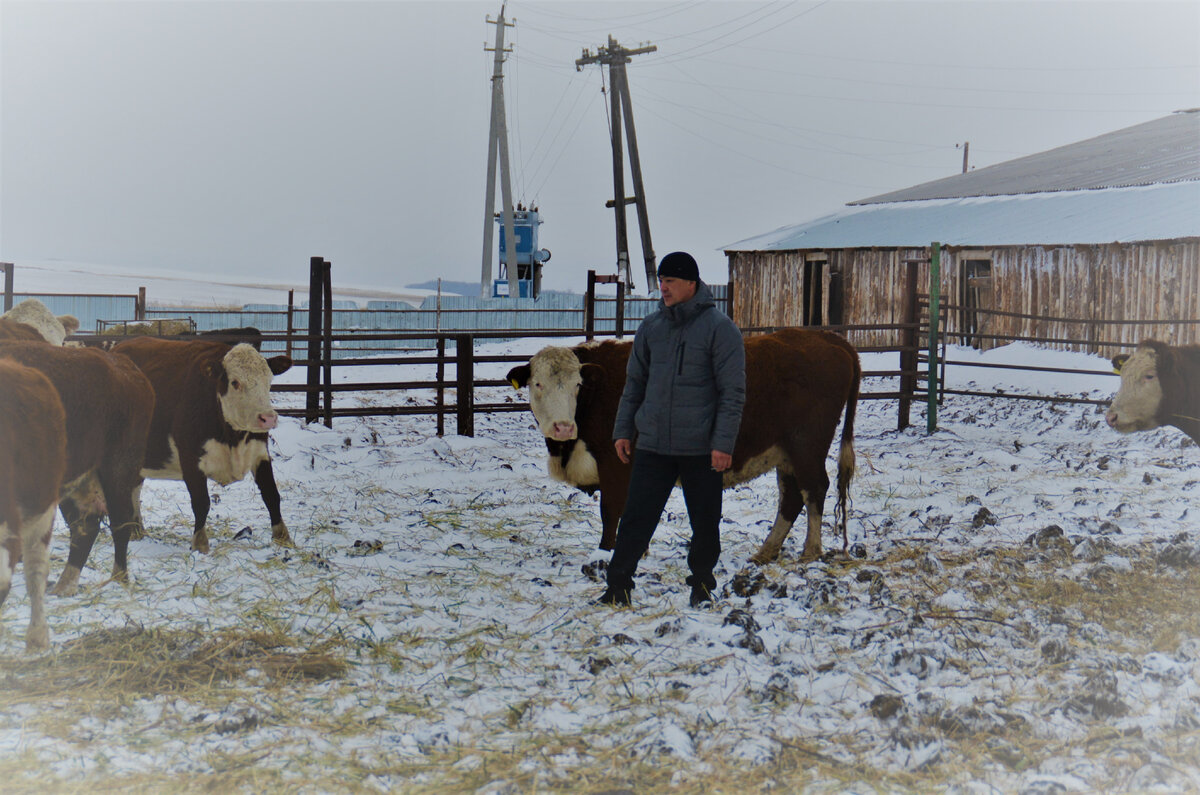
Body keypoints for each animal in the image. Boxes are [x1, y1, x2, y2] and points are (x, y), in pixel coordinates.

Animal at [0, 343, 154, 598]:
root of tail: (127, 369)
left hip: (118, 471)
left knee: (119, 525)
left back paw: (118, 580)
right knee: (85, 526)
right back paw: (65, 586)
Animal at [111, 336, 295, 554]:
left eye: (269, 381)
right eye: (235, 382)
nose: (268, 418)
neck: (232, 438)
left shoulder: (259, 453)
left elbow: (271, 494)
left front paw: (283, 537)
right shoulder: (190, 458)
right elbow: (201, 502)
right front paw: (200, 544)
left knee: (133, 489)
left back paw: (135, 530)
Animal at [506, 326, 864, 564]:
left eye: (578, 385)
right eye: (537, 384)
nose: (563, 427)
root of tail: (827, 337)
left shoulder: (617, 464)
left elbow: (612, 513)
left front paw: (606, 553)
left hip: (806, 445)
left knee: (814, 489)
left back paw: (811, 551)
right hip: (785, 452)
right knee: (791, 498)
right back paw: (766, 552)